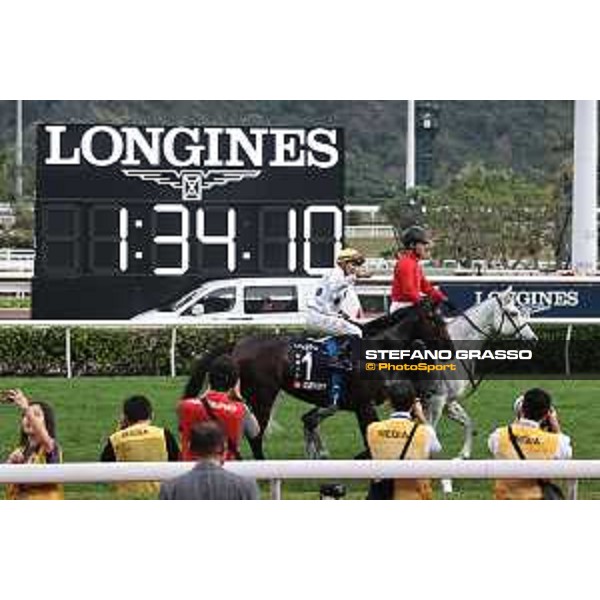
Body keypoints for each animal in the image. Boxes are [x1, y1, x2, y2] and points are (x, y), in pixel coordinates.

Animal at [424, 288, 536, 460]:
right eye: (514, 313)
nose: (533, 338)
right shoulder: (437, 401)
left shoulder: (448, 402)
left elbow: (469, 422)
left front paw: (464, 454)